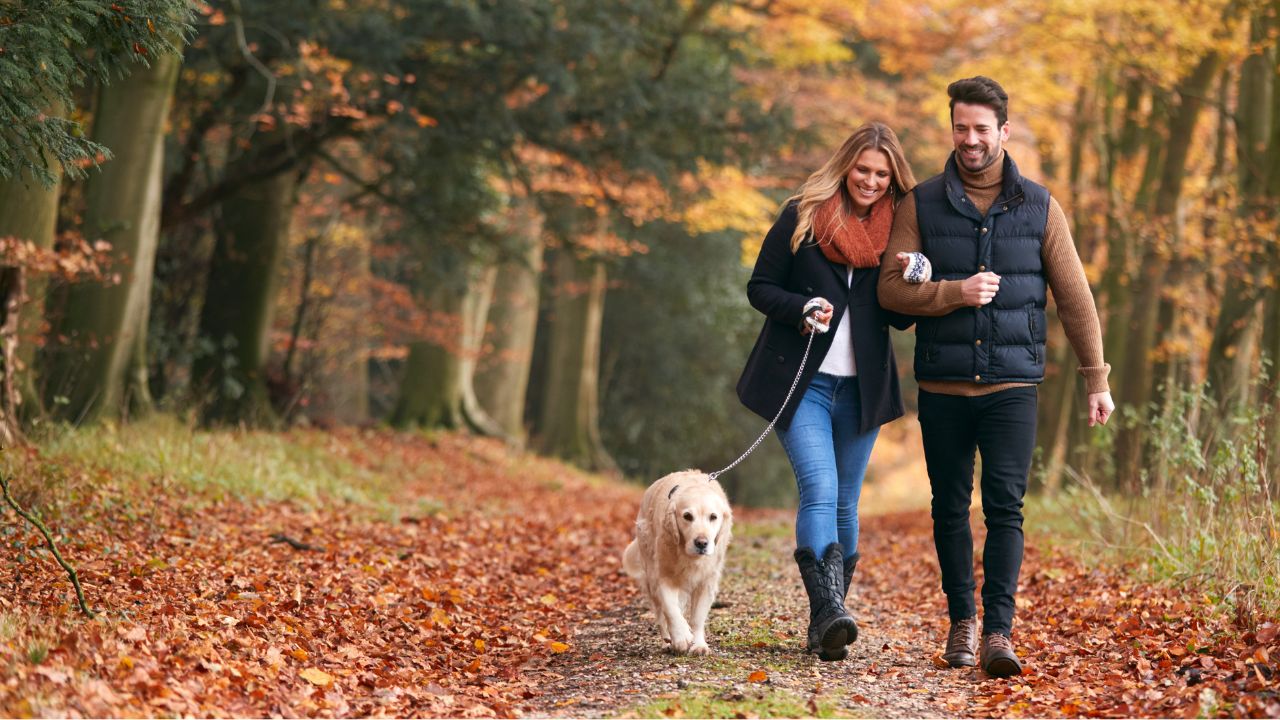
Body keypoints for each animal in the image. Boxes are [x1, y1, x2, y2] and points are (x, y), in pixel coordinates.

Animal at [624, 468, 737, 653]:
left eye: (713, 517)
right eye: (687, 516)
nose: (702, 543)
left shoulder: (707, 582)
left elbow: (697, 618)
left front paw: (698, 645)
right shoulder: (663, 576)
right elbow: (671, 609)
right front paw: (681, 637)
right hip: (650, 573)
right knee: (660, 614)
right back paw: (667, 640)